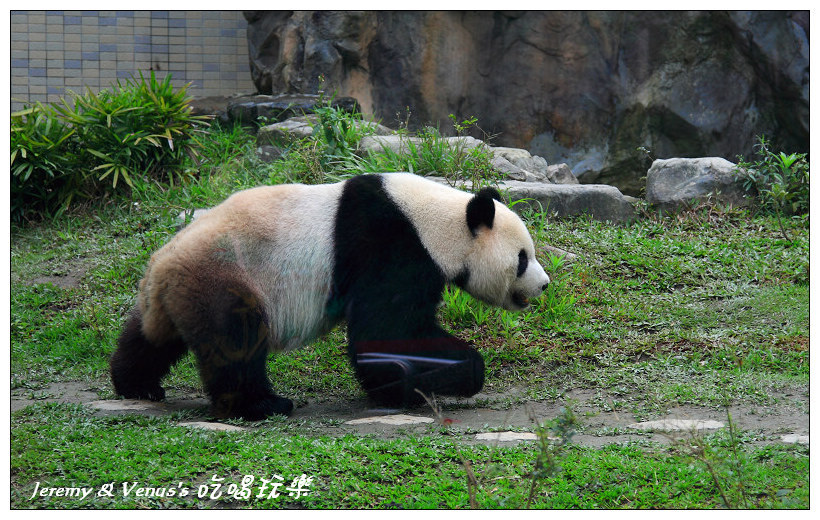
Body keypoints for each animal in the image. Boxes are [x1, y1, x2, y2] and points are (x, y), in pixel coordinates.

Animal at [110, 172, 550, 420]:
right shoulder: (390, 244)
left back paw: (136, 384)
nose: (544, 285)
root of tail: (161, 269)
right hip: (227, 277)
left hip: (178, 294)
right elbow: (384, 331)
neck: (436, 220)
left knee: (151, 339)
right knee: (236, 341)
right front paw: (421, 381)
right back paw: (261, 405)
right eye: (522, 258)